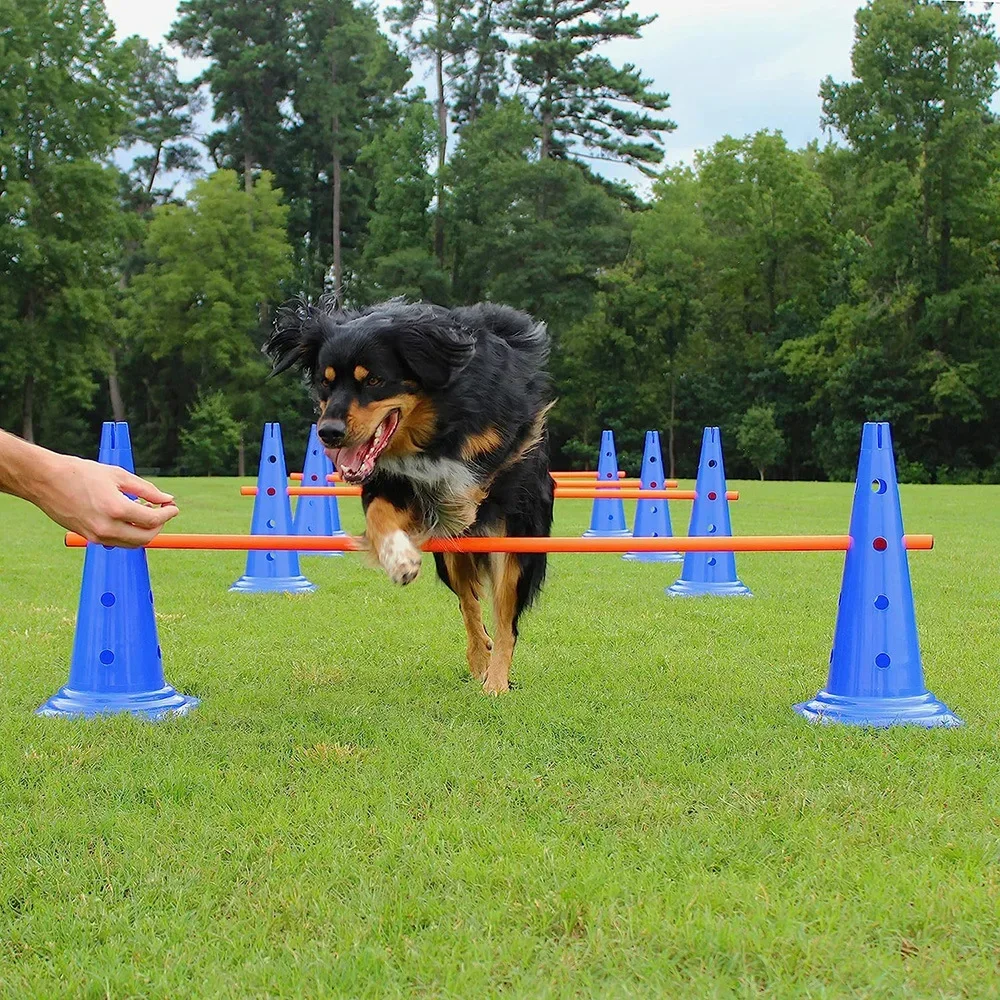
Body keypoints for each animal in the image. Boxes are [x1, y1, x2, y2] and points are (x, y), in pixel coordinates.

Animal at [266, 292, 556, 692]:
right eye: (326, 383)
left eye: (374, 380)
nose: (328, 433)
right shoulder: (387, 479)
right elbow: (380, 515)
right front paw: (399, 559)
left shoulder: (504, 438)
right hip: (451, 559)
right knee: (469, 603)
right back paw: (479, 658)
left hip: (516, 542)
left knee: (505, 616)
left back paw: (496, 681)